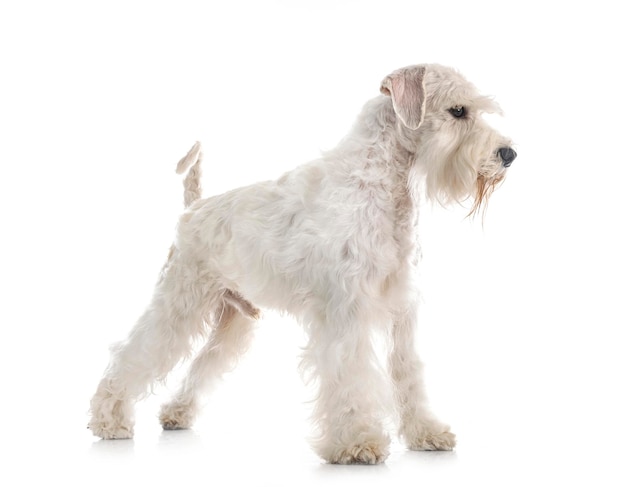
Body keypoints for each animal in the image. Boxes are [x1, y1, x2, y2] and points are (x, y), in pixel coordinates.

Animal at [90, 63, 516, 466]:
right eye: (458, 110)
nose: (508, 154)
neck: (379, 183)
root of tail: (194, 208)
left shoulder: (402, 310)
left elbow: (407, 372)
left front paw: (426, 433)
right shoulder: (345, 311)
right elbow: (350, 377)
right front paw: (357, 442)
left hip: (232, 319)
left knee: (202, 364)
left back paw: (176, 414)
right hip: (178, 303)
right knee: (134, 353)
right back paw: (109, 420)